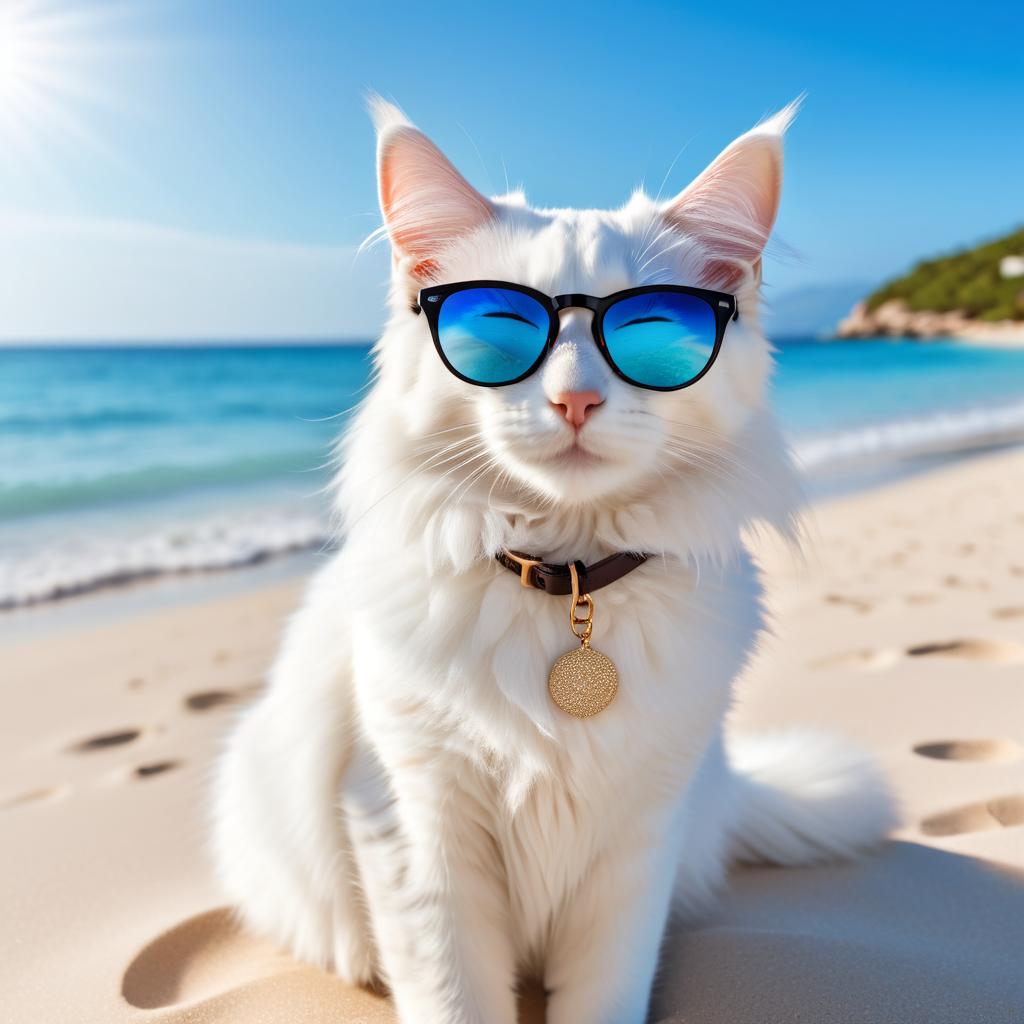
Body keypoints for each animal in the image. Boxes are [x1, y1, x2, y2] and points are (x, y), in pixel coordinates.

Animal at [211, 97, 892, 1024]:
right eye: (501, 328)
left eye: (653, 331)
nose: (576, 400)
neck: (566, 583)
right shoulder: (413, 825)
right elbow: (453, 996)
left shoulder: (639, 842)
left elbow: (604, 993)